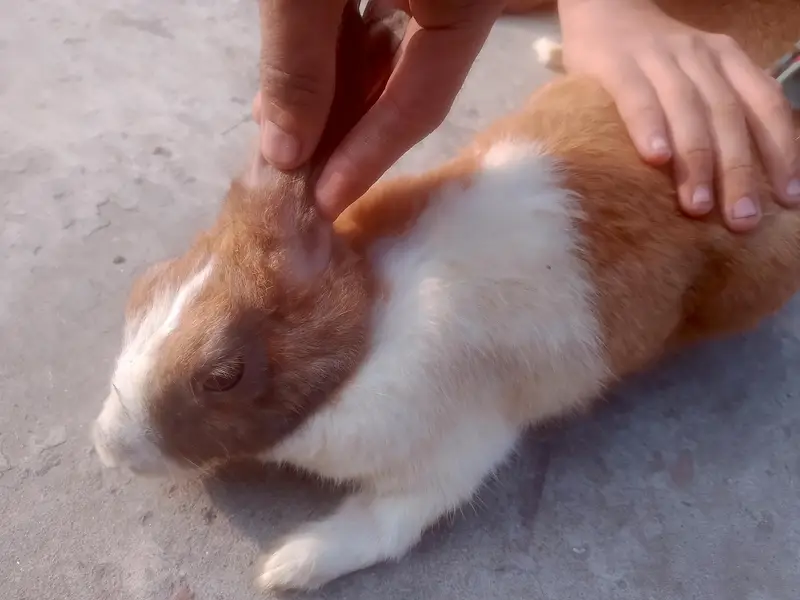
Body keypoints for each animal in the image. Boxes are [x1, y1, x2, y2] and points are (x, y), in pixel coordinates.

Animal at [91, 0, 800, 592]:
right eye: (145, 285)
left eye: (224, 375)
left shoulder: (449, 457)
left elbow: (384, 528)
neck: (372, 323)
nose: (107, 447)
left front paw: (286, 567)